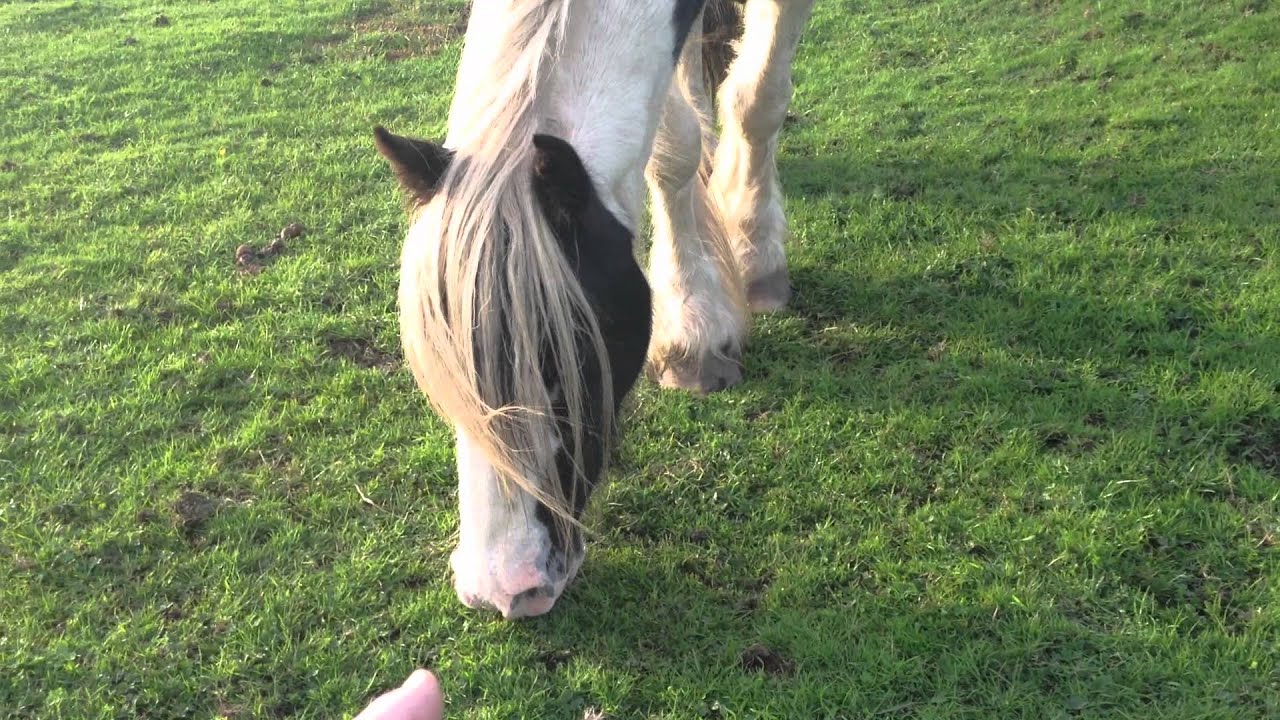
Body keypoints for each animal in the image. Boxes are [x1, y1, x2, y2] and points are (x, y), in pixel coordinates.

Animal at [374, 0, 815, 618]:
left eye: (560, 370)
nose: (504, 590)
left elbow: (758, 99)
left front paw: (741, 267)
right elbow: (674, 144)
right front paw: (697, 313)